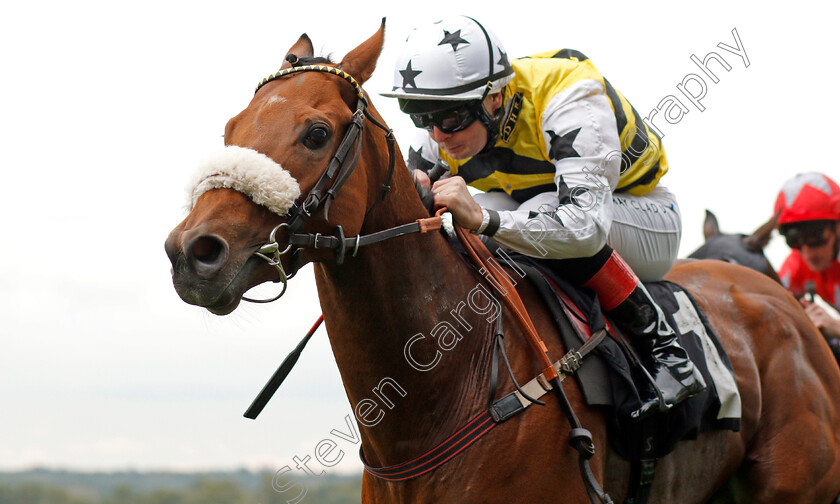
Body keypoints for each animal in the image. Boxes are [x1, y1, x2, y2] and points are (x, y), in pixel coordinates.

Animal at [162, 21, 840, 502]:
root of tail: (791, 309)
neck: (436, 399)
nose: (192, 252)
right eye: (231, 127)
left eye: (316, 133)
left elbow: (582, 219)